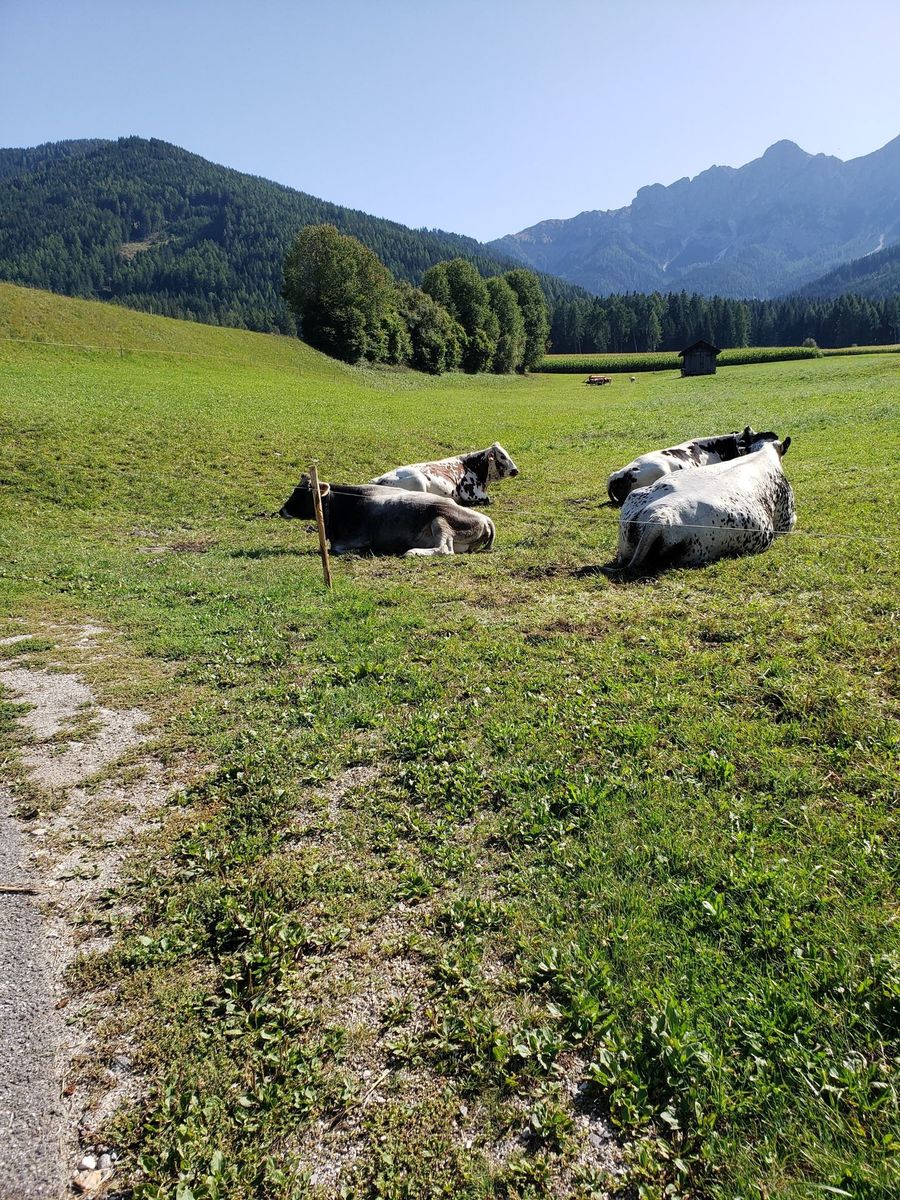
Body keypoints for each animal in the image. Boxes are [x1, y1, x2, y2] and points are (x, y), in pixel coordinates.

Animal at [278, 477, 495, 556]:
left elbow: (338, 548)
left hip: (440, 520)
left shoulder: (359, 537)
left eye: (302, 493)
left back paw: (412, 552)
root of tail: (485, 519)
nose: (282, 511)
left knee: (444, 549)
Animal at [371, 443, 518, 506]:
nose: (516, 470)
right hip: (418, 481)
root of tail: (378, 479)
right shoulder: (470, 494)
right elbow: (487, 500)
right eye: (502, 456)